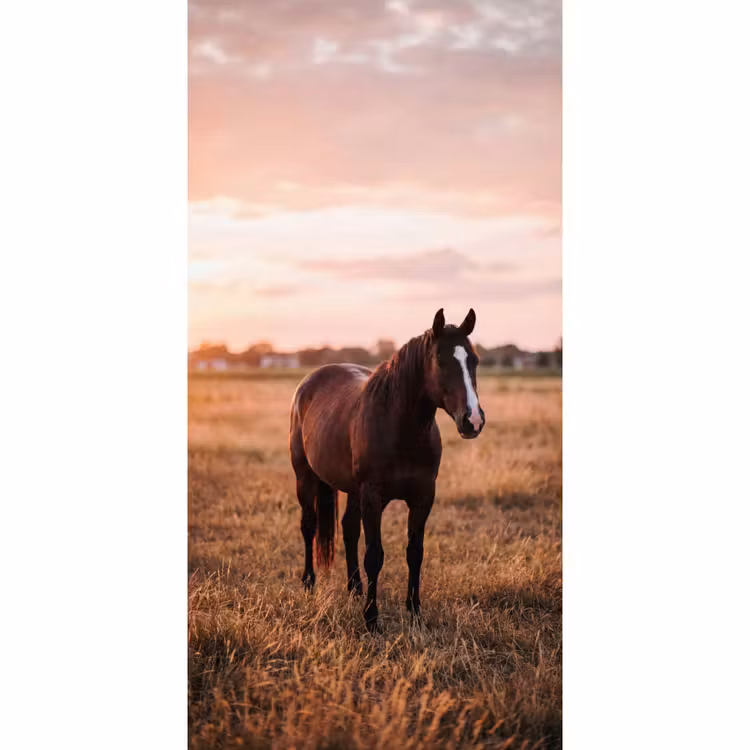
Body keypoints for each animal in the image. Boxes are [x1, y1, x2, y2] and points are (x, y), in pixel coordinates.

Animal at [288, 308, 485, 632]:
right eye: (441, 361)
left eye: (474, 361)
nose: (473, 421)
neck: (400, 428)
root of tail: (309, 382)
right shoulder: (373, 496)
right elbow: (375, 556)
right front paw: (371, 618)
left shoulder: (422, 497)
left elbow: (414, 552)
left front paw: (414, 611)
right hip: (305, 477)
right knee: (309, 526)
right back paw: (309, 583)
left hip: (352, 489)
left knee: (348, 528)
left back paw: (355, 588)